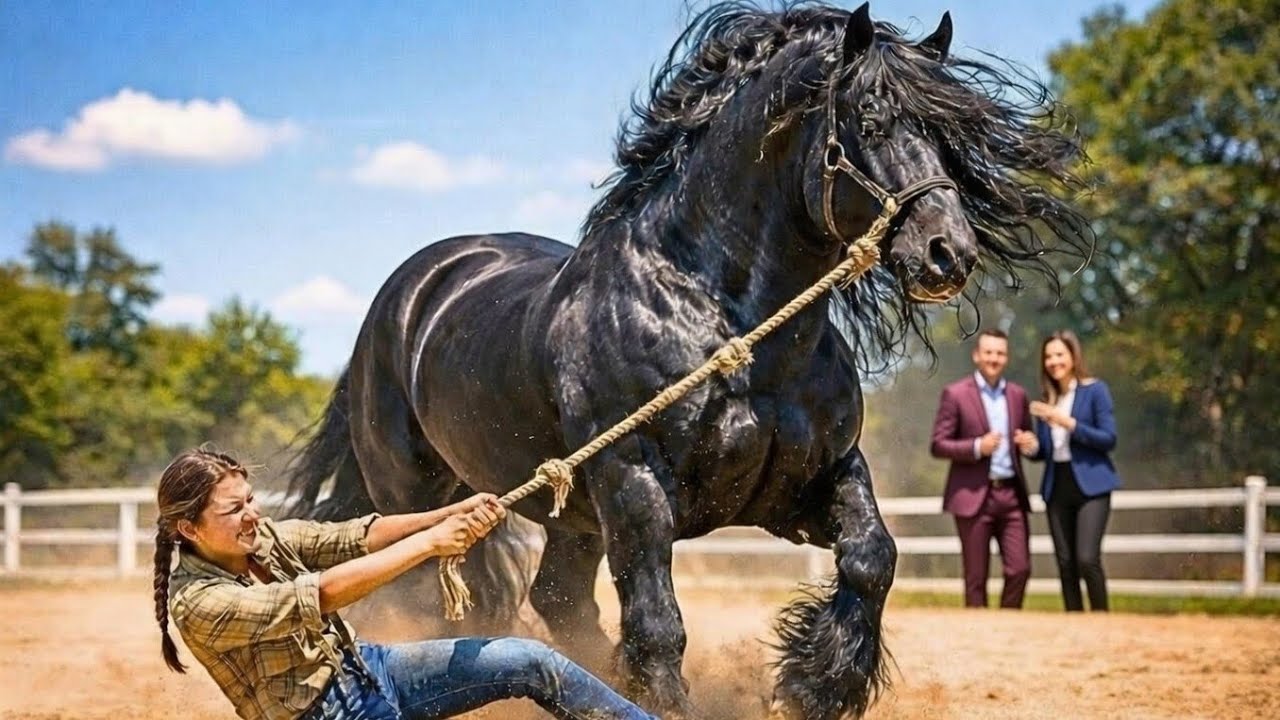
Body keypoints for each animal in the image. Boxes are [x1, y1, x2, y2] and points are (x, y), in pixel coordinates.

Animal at [287, 3, 1090, 718]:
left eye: (949, 133)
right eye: (870, 120)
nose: (948, 253)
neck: (726, 320)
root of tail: (408, 293)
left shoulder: (815, 480)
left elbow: (872, 557)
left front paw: (814, 685)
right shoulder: (634, 486)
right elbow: (659, 625)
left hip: (570, 516)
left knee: (556, 599)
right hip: (416, 495)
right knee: (429, 601)